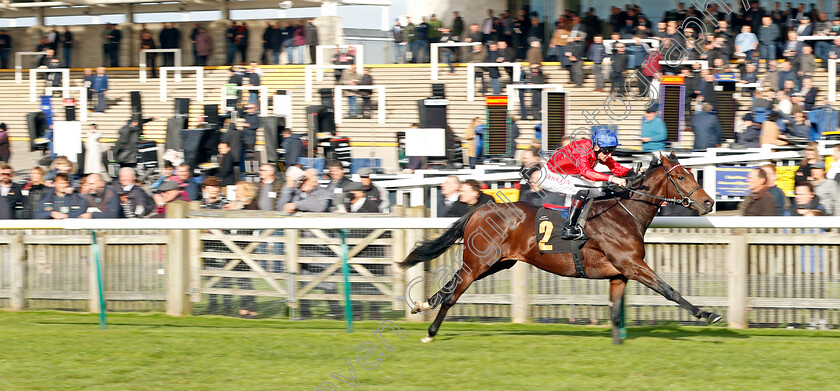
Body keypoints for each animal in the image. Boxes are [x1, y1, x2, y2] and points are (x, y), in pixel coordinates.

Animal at [400, 153, 720, 346]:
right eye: (681, 177)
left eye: (693, 174)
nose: (709, 203)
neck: (623, 213)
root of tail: (480, 209)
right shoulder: (632, 265)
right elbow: (669, 290)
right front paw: (707, 314)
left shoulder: (619, 274)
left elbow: (616, 310)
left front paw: (618, 342)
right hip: (480, 262)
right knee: (453, 294)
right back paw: (430, 333)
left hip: (495, 263)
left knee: (452, 282)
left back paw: (422, 305)